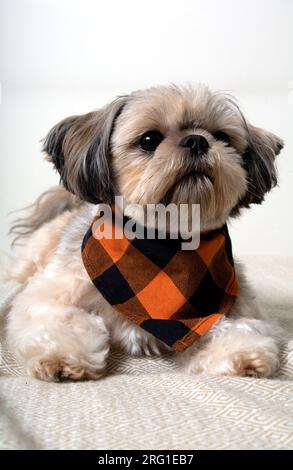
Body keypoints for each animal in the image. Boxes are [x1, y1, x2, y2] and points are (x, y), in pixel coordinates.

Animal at [6, 82, 282, 380]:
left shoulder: (233, 306)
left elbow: (237, 327)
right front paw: (62, 357)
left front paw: (241, 354)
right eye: (149, 140)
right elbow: (64, 319)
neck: (166, 244)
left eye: (222, 137)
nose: (197, 140)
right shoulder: (50, 294)